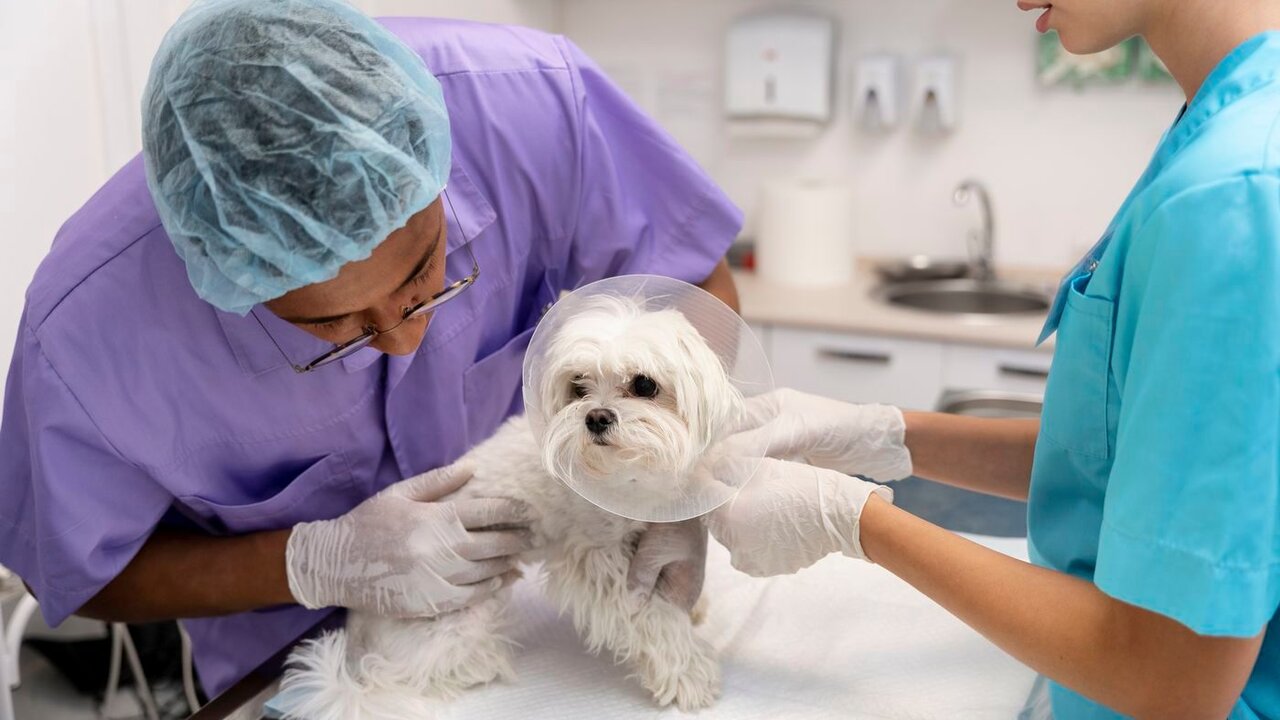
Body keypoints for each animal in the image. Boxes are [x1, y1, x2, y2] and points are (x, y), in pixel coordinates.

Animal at [280, 294, 742, 712]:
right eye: (578, 387)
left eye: (644, 384)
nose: (595, 417)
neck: (625, 476)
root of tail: (357, 640)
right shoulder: (595, 560)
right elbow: (650, 617)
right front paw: (690, 672)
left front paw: (690, 600)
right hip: (459, 621)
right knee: (420, 672)